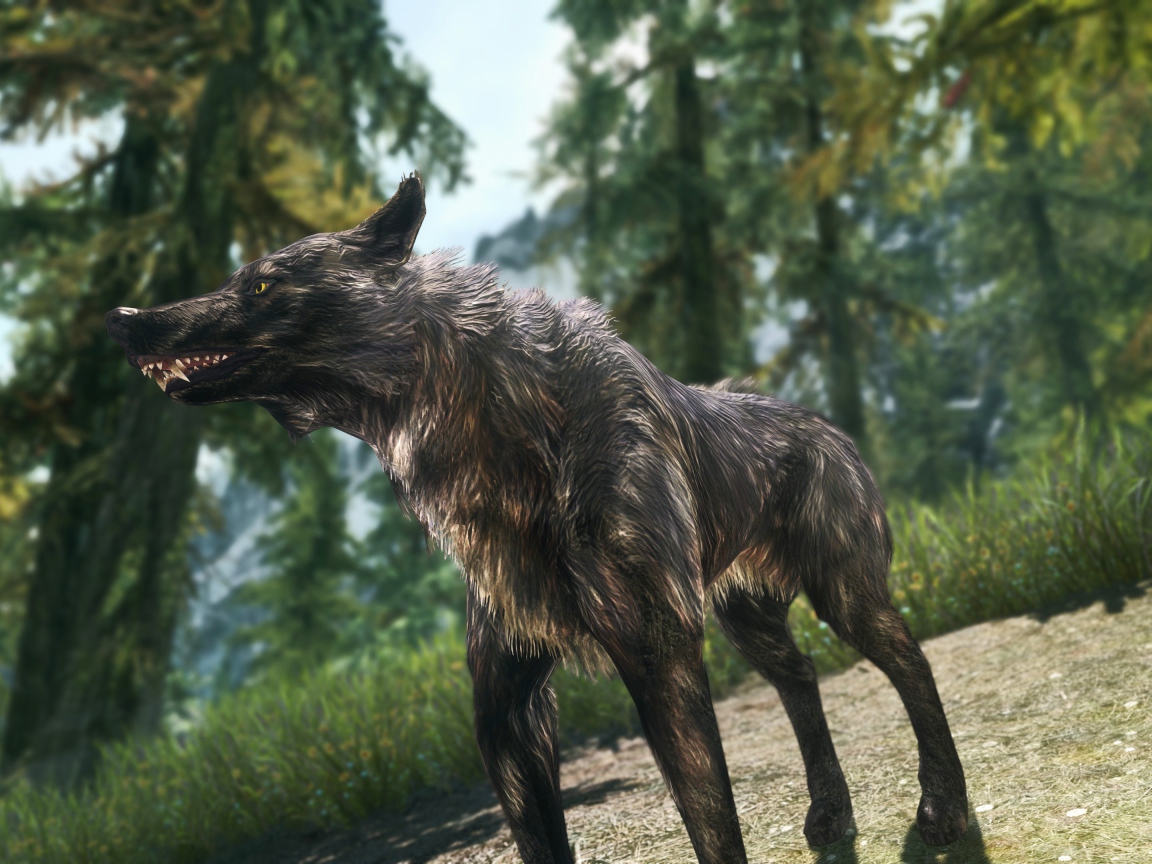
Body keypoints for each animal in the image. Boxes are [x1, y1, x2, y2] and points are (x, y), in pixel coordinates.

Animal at [106, 174, 968, 863]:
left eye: (260, 286)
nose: (121, 316)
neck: (502, 428)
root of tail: (829, 428)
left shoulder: (658, 657)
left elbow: (713, 824)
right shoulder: (507, 710)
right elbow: (543, 842)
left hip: (844, 598)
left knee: (912, 665)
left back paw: (943, 810)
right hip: (748, 621)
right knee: (802, 679)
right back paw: (830, 814)